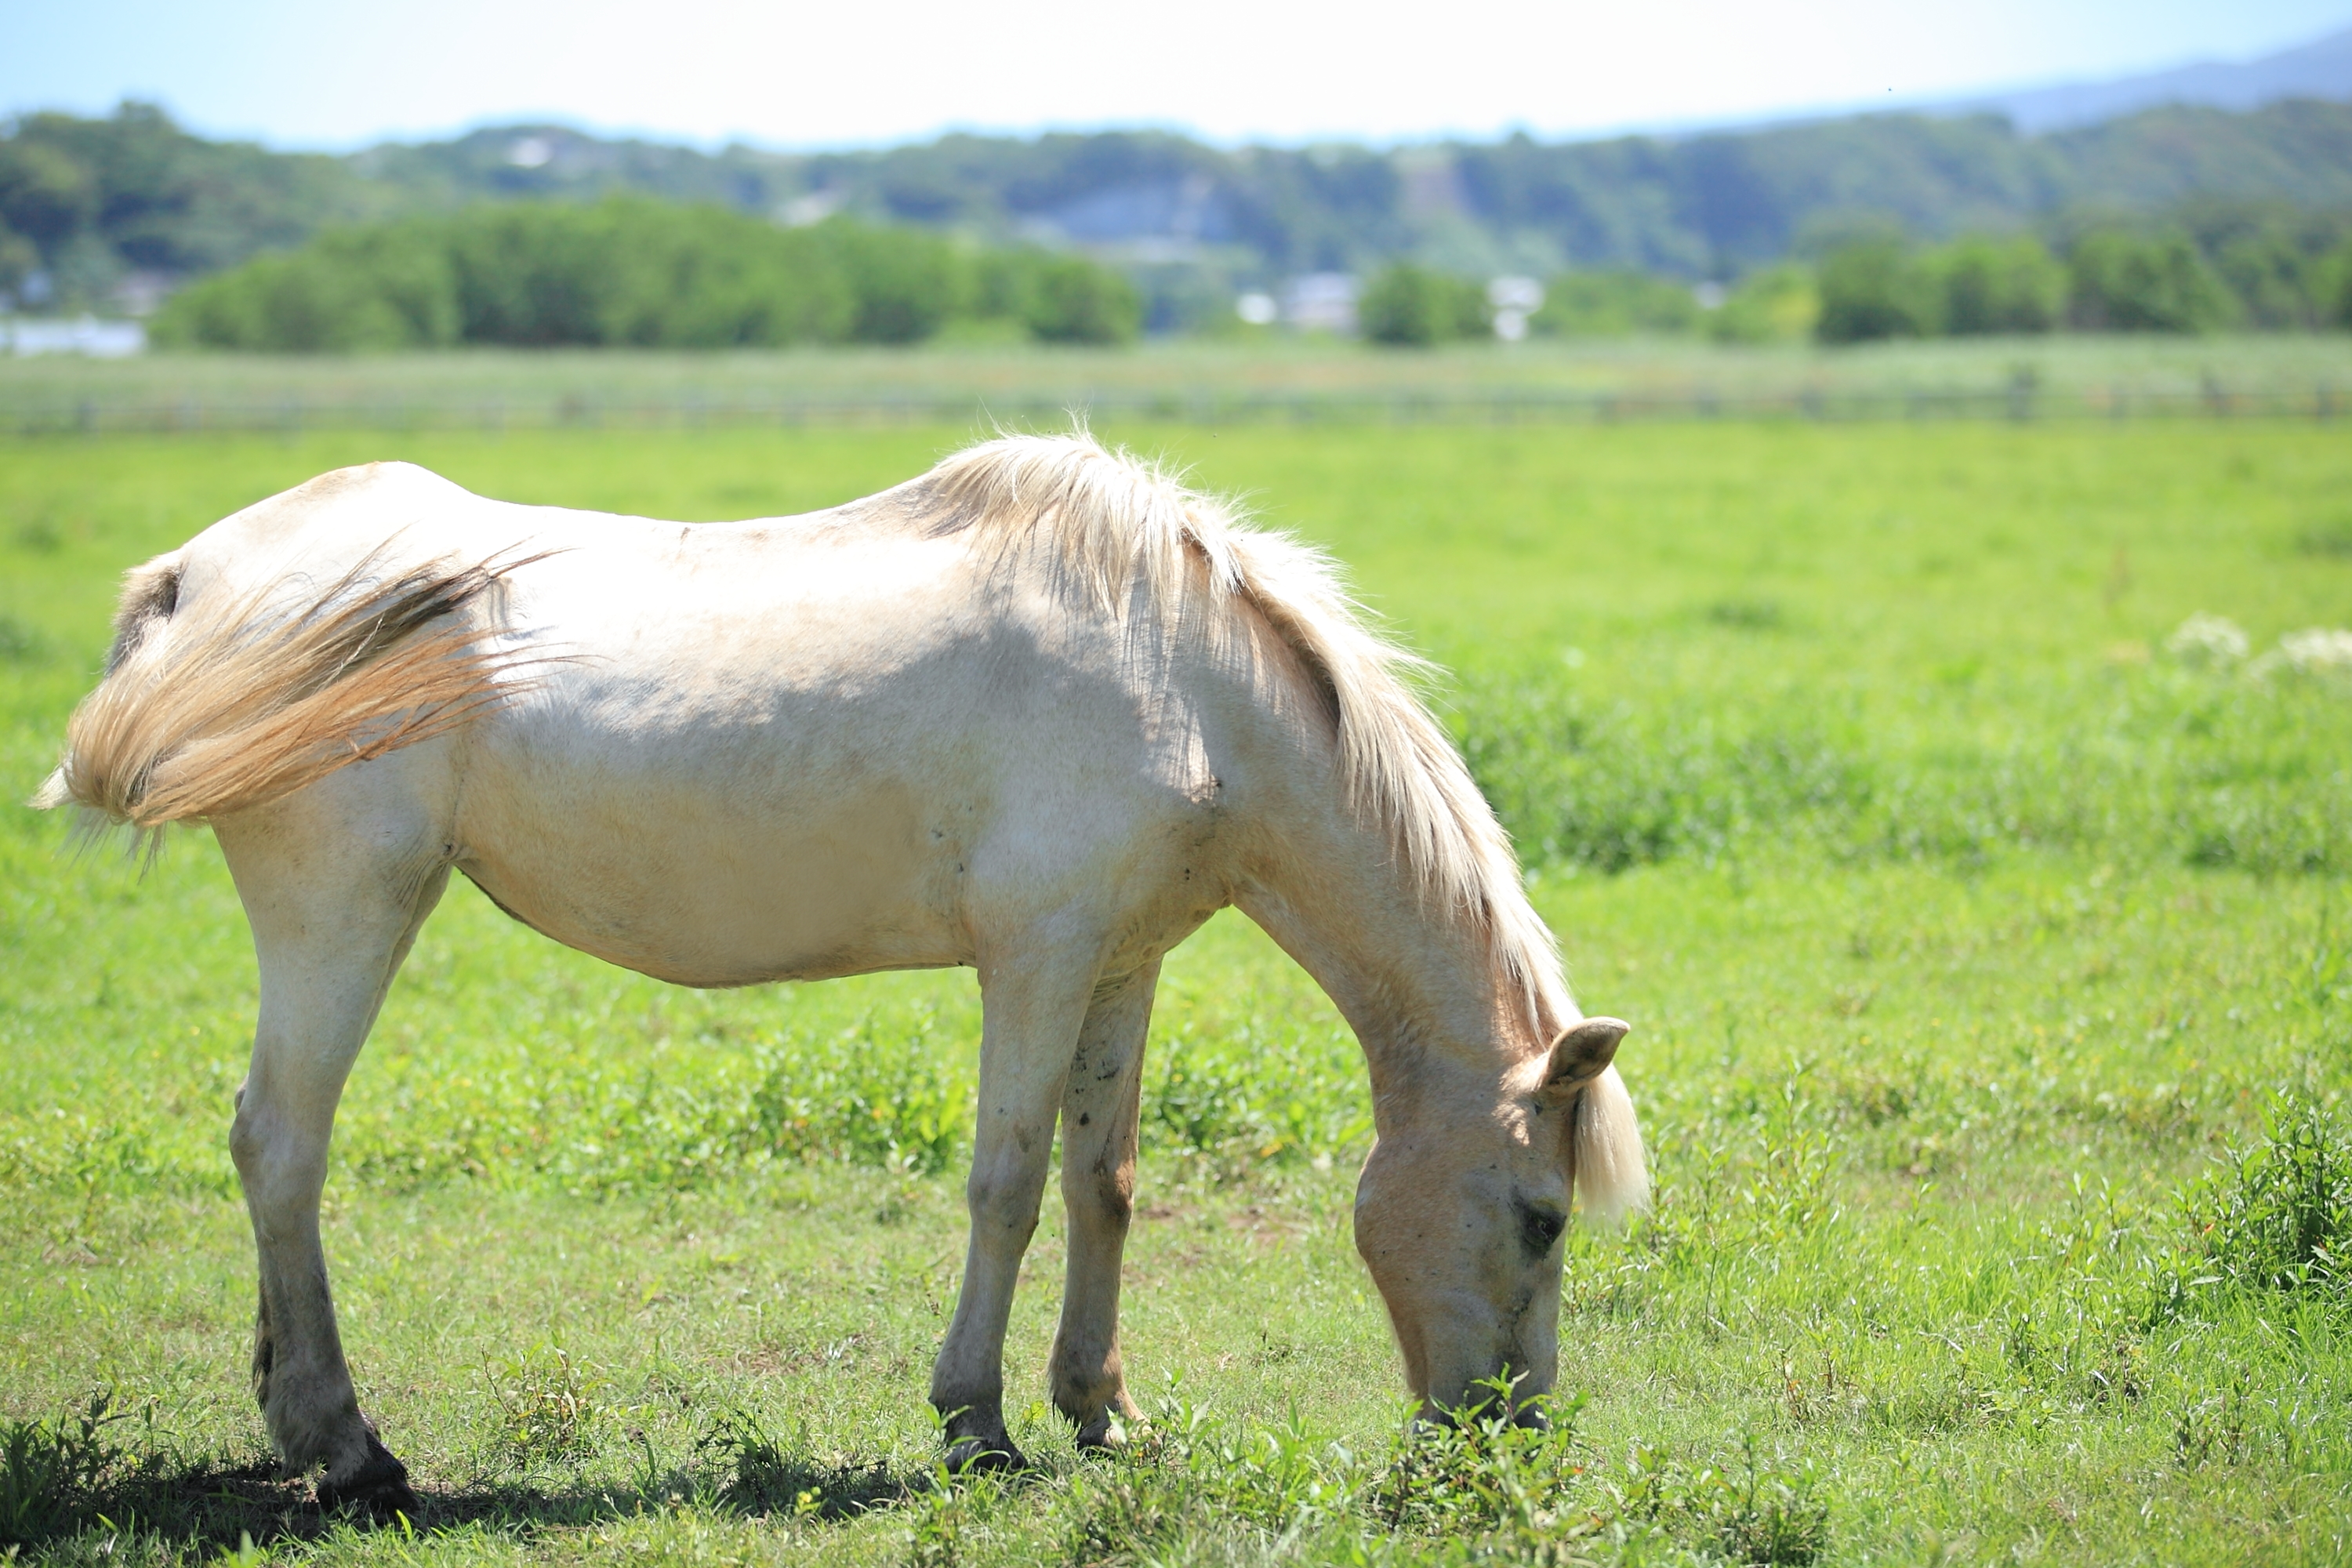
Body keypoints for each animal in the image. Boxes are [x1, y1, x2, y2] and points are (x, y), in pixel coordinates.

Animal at [41, 434, 1656, 1514]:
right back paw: (350, 1444)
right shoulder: (1037, 957)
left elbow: (1105, 1186)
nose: (1506, 1437)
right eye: (1540, 1217)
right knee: (282, 1146)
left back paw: (289, 1416)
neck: (1185, 677)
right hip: (345, 910)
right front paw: (977, 1424)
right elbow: (1006, 1185)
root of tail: (193, 580)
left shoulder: (1118, 964)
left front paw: (1101, 1411)